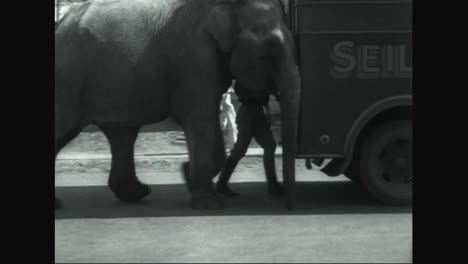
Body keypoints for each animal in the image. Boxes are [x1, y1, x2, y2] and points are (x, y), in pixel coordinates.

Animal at [54, 0, 302, 210]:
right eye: (268, 51)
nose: (286, 204)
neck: (226, 6)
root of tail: (61, 23)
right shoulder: (196, 59)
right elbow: (200, 118)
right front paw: (208, 203)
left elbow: (207, 120)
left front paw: (187, 174)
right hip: (69, 80)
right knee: (68, 130)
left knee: (122, 134)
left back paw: (137, 193)